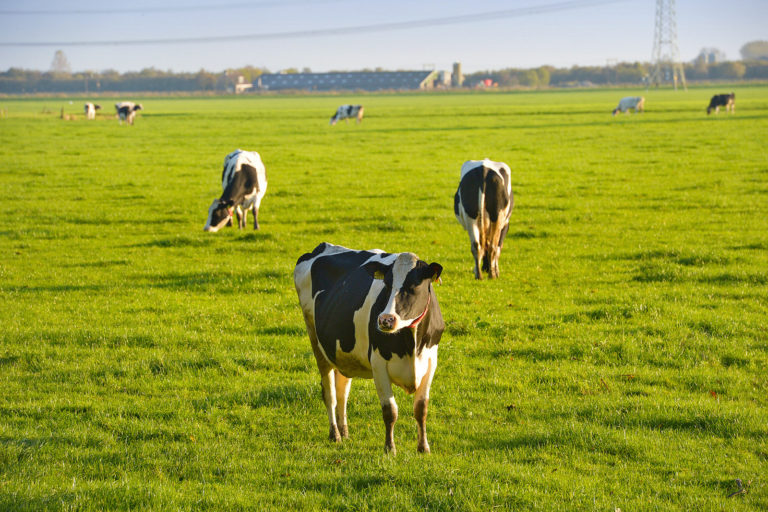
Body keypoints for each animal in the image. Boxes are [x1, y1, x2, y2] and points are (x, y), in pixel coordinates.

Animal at [296, 242, 448, 454]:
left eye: (415, 285)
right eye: (387, 284)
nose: (385, 319)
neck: (411, 345)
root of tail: (323, 246)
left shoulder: (430, 362)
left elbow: (421, 408)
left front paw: (423, 447)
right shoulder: (378, 364)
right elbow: (390, 411)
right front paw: (389, 449)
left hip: (344, 353)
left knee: (342, 392)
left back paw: (344, 431)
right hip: (316, 341)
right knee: (330, 394)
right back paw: (335, 434)